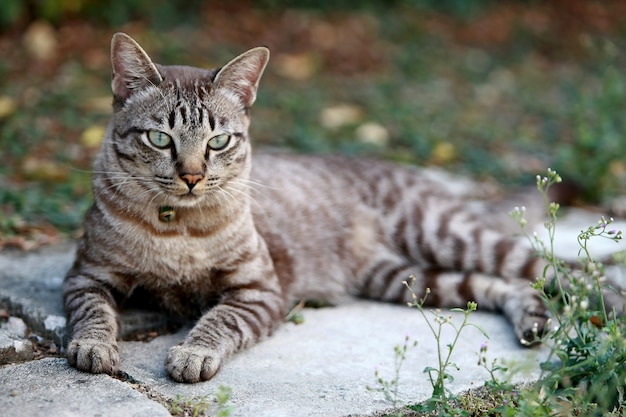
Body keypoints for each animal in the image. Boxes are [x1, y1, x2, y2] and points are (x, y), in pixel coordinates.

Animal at [64, 33, 556, 384]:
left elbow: (217, 321)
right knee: (498, 286)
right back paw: (532, 320)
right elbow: (92, 314)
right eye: (159, 138)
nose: (191, 177)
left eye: (218, 141)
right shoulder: (87, 275)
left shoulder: (259, 289)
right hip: (406, 279)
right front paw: (94, 347)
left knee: (551, 270)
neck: (176, 229)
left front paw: (193, 352)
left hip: (443, 233)